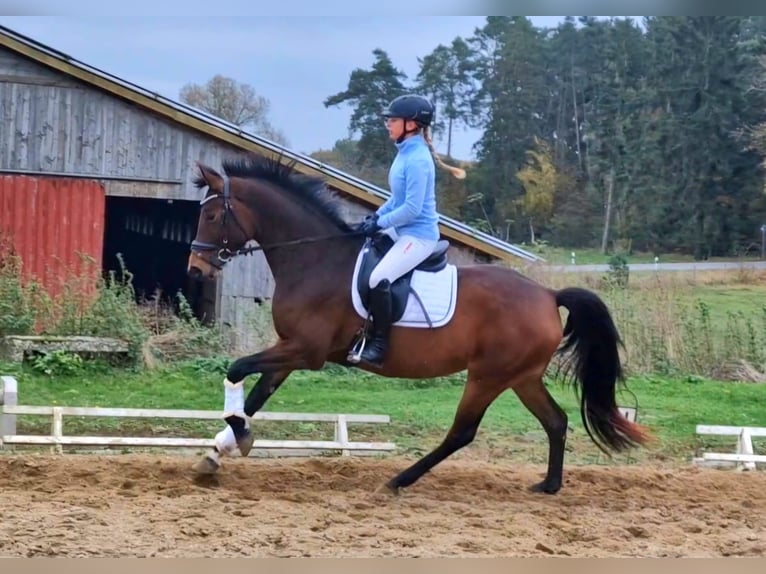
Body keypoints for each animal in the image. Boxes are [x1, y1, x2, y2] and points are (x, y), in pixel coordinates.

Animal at [186, 152, 656, 496]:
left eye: (211, 217)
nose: (195, 269)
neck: (314, 260)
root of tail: (547, 295)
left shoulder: (306, 351)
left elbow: (237, 371)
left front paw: (236, 439)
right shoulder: (290, 349)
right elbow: (255, 395)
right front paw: (217, 453)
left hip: (488, 376)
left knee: (462, 432)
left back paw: (399, 480)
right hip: (521, 376)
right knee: (555, 421)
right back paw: (549, 485)